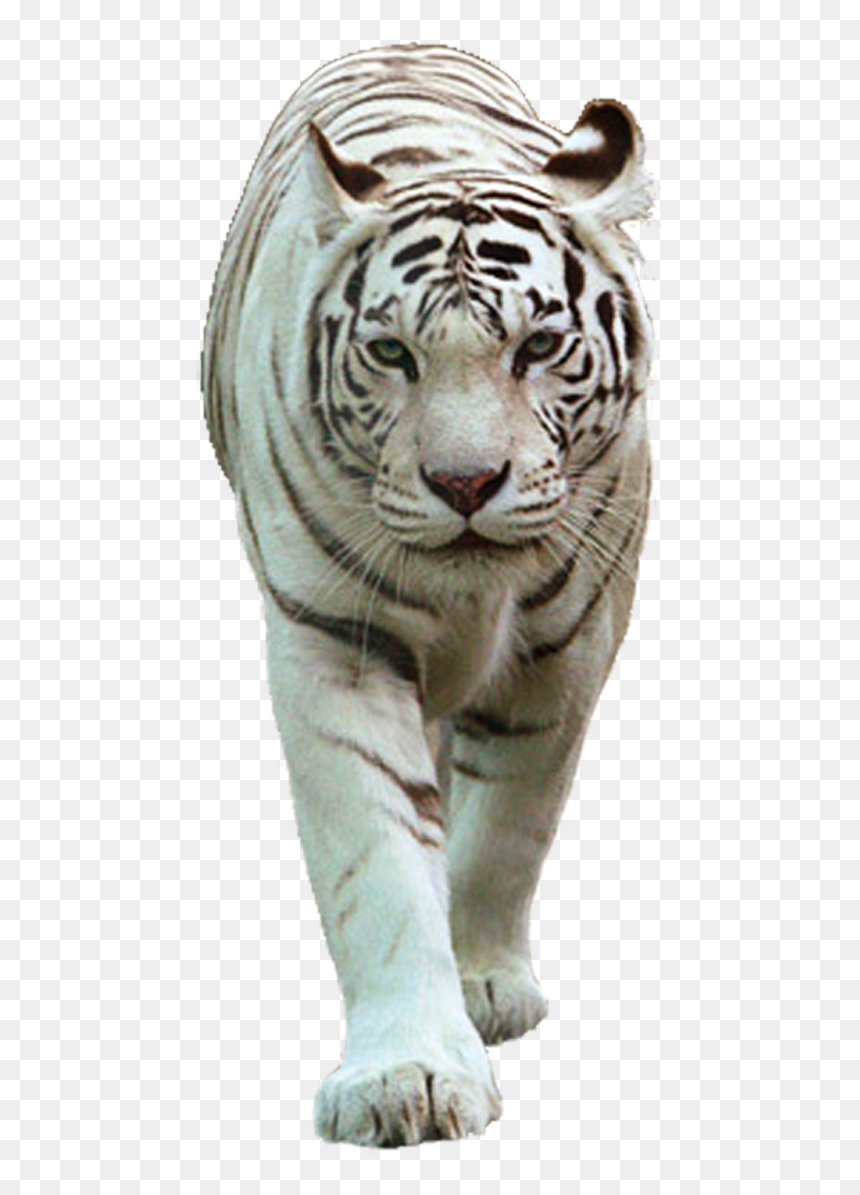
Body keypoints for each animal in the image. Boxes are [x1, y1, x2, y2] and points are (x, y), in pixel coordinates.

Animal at [202, 43, 653, 1148]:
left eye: (537, 348)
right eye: (391, 353)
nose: (464, 482)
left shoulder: (567, 645)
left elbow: (506, 830)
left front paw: (484, 982)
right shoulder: (334, 640)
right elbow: (379, 859)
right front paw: (407, 1073)